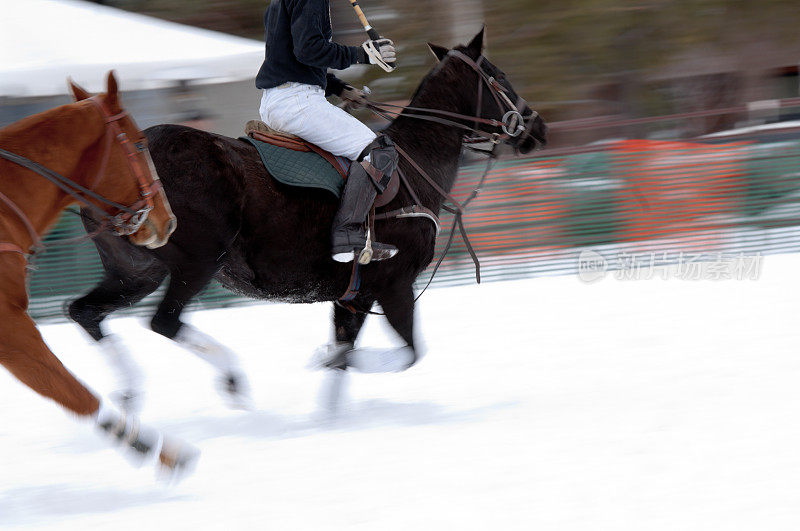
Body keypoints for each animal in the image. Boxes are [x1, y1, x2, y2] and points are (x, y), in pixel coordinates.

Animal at [69, 31, 548, 408]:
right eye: (498, 76)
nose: (537, 128)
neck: (417, 163)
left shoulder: (354, 294)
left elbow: (345, 365)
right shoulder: (393, 283)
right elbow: (401, 353)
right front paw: (324, 360)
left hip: (136, 270)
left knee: (85, 311)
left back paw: (128, 395)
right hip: (199, 259)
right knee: (163, 321)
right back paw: (230, 379)